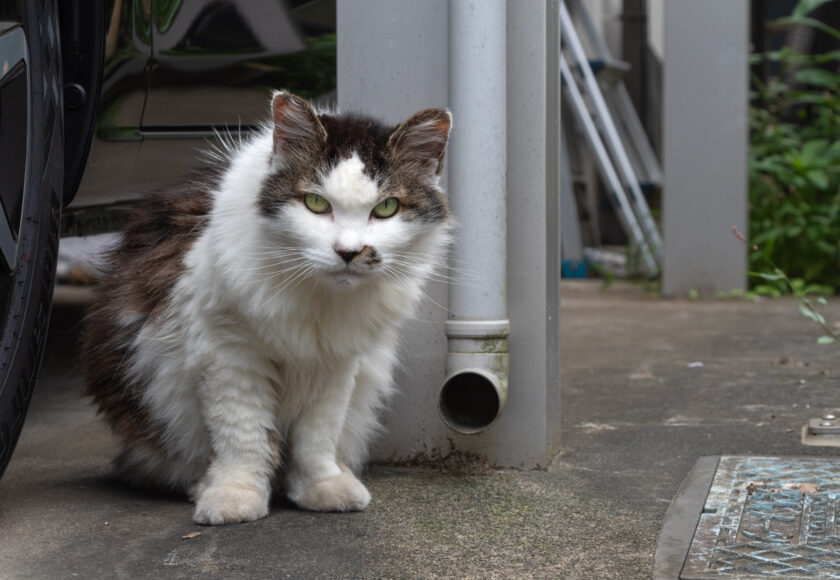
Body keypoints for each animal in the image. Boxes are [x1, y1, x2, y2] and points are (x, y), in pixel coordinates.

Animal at [80, 92, 452, 524]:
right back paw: (202, 485)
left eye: (388, 208)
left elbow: (317, 438)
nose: (349, 252)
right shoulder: (229, 355)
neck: (319, 299)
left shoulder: (336, 363)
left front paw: (322, 487)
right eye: (315, 203)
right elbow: (243, 436)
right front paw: (234, 497)